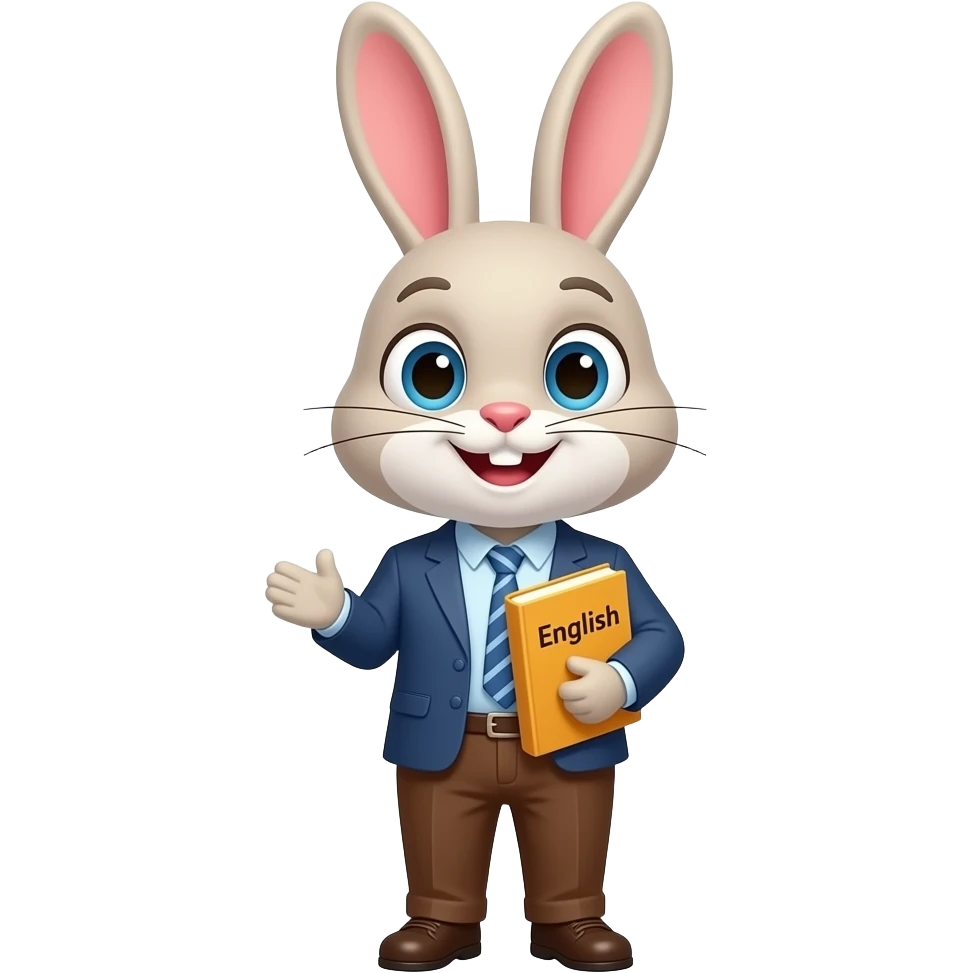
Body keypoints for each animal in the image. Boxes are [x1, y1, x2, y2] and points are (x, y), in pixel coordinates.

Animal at [268, 4, 687, 971]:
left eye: (578, 372)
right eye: (431, 371)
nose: (502, 414)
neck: (500, 537)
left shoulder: (620, 569)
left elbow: (655, 638)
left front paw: (588, 689)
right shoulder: (400, 588)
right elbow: (373, 631)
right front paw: (315, 596)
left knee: (570, 828)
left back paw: (583, 934)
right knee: (439, 832)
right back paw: (428, 934)